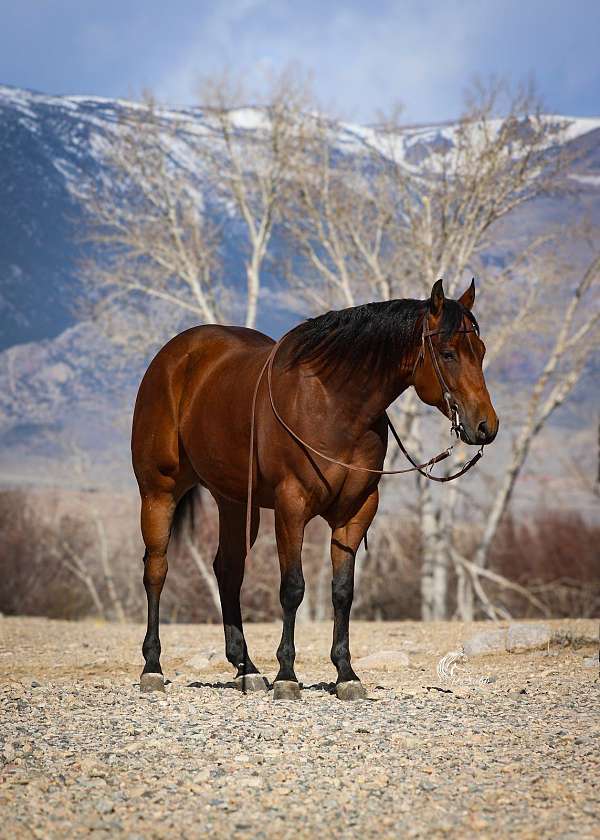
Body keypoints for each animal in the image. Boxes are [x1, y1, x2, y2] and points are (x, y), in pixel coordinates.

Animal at [131, 278, 498, 700]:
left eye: (480, 351)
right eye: (448, 353)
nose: (486, 426)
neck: (335, 405)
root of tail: (172, 357)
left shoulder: (357, 512)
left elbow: (343, 591)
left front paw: (346, 674)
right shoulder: (292, 507)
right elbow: (293, 587)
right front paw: (287, 676)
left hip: (235, 503)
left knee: (227, 570)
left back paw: (246, 670)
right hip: (158, 493)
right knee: (156, 570)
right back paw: (153, 667)